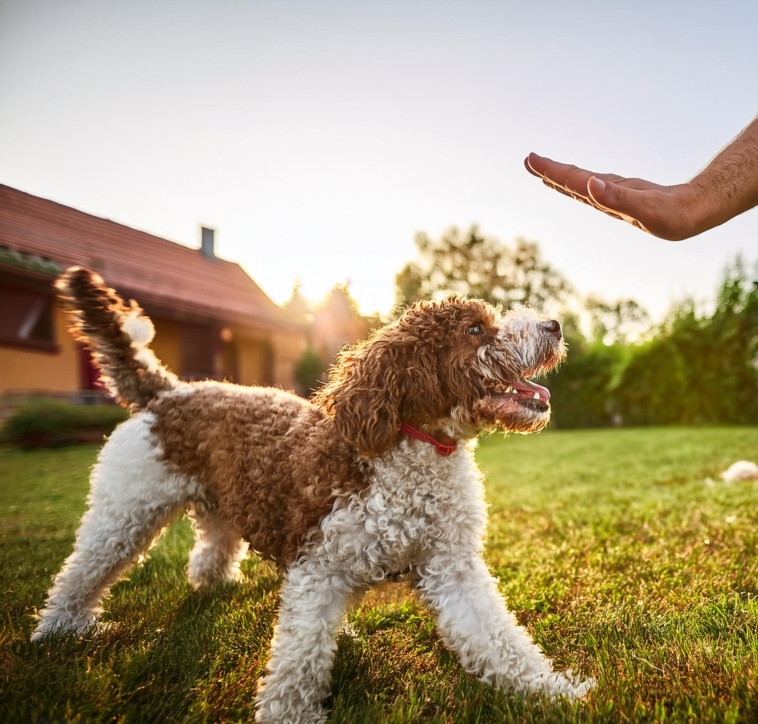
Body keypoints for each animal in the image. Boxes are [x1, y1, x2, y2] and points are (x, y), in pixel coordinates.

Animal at [32, 268, 592, 724]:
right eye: (475, 329)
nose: (555, 326)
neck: (410, 450)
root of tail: (166, 392)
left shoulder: (451, 567)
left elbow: (498, 638)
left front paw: (549, 691)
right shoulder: (318, 569)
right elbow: (299, 658)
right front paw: (289, 714)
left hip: (218, 505)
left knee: (210, 549)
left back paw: (213, 585)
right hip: (125, 512)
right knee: (83, 569)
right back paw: (58, 629)